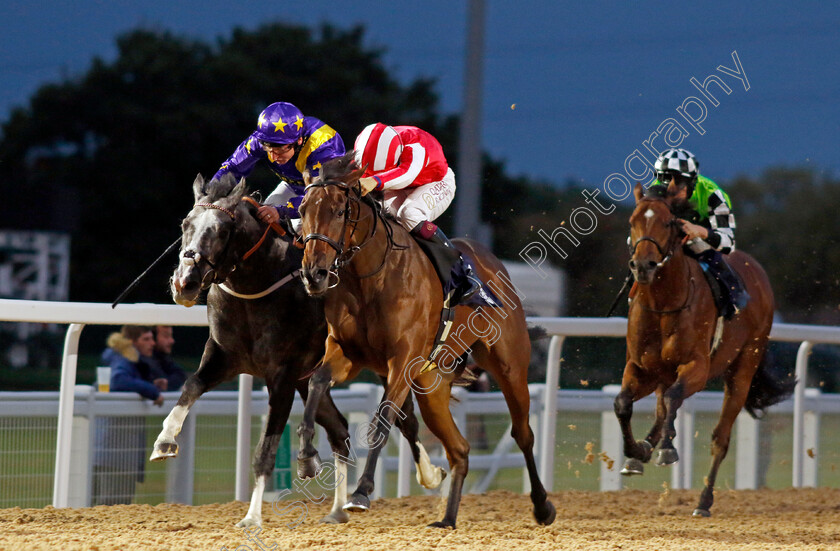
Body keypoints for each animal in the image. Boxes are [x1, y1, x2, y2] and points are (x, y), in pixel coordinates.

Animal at [153, 175, 434, 528]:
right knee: (340, 430)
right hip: (312, 379)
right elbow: (191, 385)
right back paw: (336, 507)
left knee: (404, 419)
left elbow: (265, 450)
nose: (184, 283)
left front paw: (252, 517)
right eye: (185, 224)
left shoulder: (283, 376)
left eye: (221, 230)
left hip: (390, 364)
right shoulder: (223, 356)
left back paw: (428, 474)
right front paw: (165, 441)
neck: (256, 287)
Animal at [292, 154, 556, 532]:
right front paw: (306, 458)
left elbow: (384, 418)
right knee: (460, 449)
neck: (369, 277)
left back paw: (542, 505)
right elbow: (316, 382)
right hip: (432, 386)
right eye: (303, 208)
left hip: (510, 366)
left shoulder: (402, 361)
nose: (314, 274)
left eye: (340, 211)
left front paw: (362, 492)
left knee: (523, 434)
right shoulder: (346, 353)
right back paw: (447, 518)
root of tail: (493, 263)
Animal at [616, 184, 796, 516]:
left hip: (743, 368)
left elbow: (674, 399)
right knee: (661, 410)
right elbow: (623, 403)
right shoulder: (642, 368)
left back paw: (703, 500)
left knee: (720, 438)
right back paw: (645, 450)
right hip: (664, 374)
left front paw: (667, 450)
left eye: (668, 223)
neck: (663, 304)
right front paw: (635, 450)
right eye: (632, 221)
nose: (643, 266)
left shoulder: (697, 367)